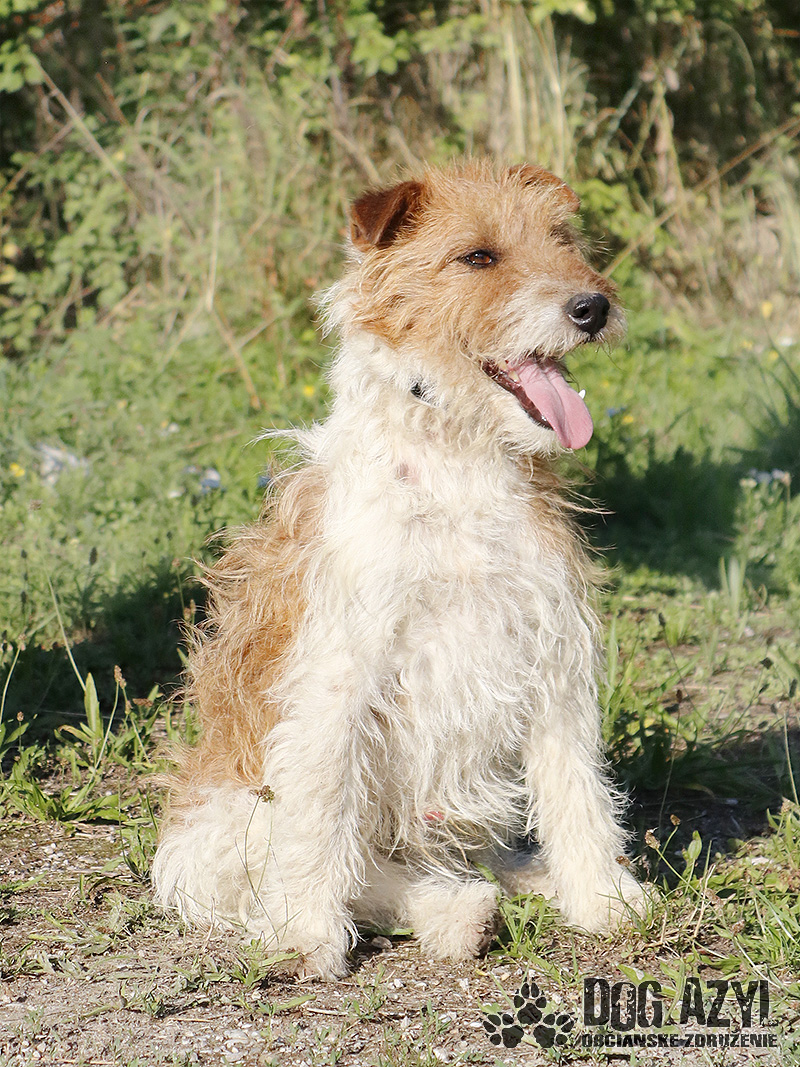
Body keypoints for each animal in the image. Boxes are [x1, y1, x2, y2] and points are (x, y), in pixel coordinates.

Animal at [153, 160, 648, 980]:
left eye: (562, 240)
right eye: (478, 256)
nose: (593, 306)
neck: (456, 460)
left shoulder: (552, 653)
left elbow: (577, 788)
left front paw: (602, 897)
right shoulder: (338, 678)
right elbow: (322, 824)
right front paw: (307, 939)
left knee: (463, 857)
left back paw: (519, 884)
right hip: (225, 828)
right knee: (360, 872)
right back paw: (453, 913)